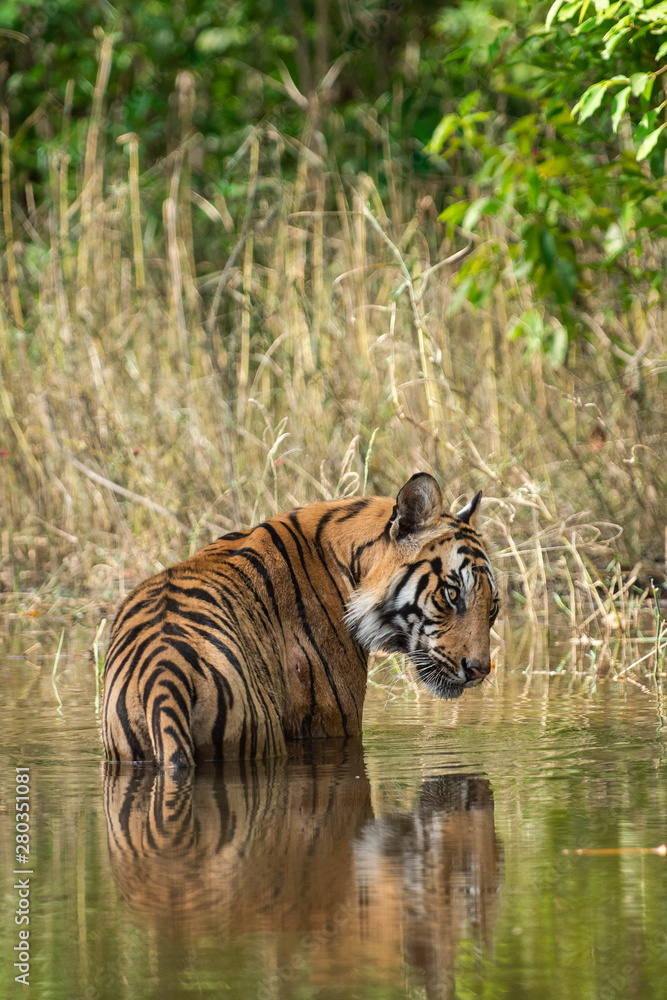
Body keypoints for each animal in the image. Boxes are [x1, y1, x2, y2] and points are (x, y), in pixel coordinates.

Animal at [101, 472, 498, 767]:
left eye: (492, 607)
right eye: (452, 594)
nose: (480, 670)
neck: (351, 565)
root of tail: (164, 680)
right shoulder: (333, 720)